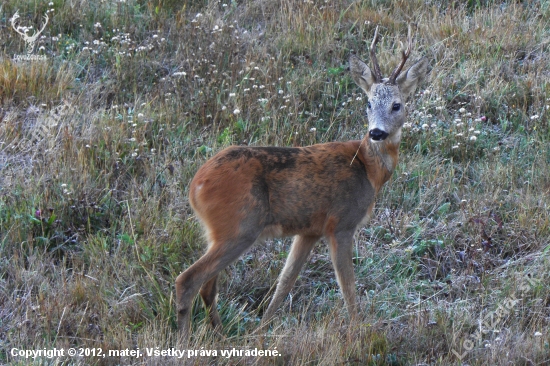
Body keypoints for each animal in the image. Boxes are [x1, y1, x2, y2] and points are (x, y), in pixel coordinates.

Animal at [177, 26, 432, 338]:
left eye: (397, 105)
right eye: (368, 102)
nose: (376, 133)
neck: (367, 168)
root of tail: (195, 186)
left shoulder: (309, 230)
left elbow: (285, 281)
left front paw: (263, 328)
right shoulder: (341, 223)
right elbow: (348, 287)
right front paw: (359, 331)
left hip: (221, 233)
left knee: (208, 286)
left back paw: (221, 332)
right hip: (239, 228)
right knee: (188, 280)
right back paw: (186, 340)